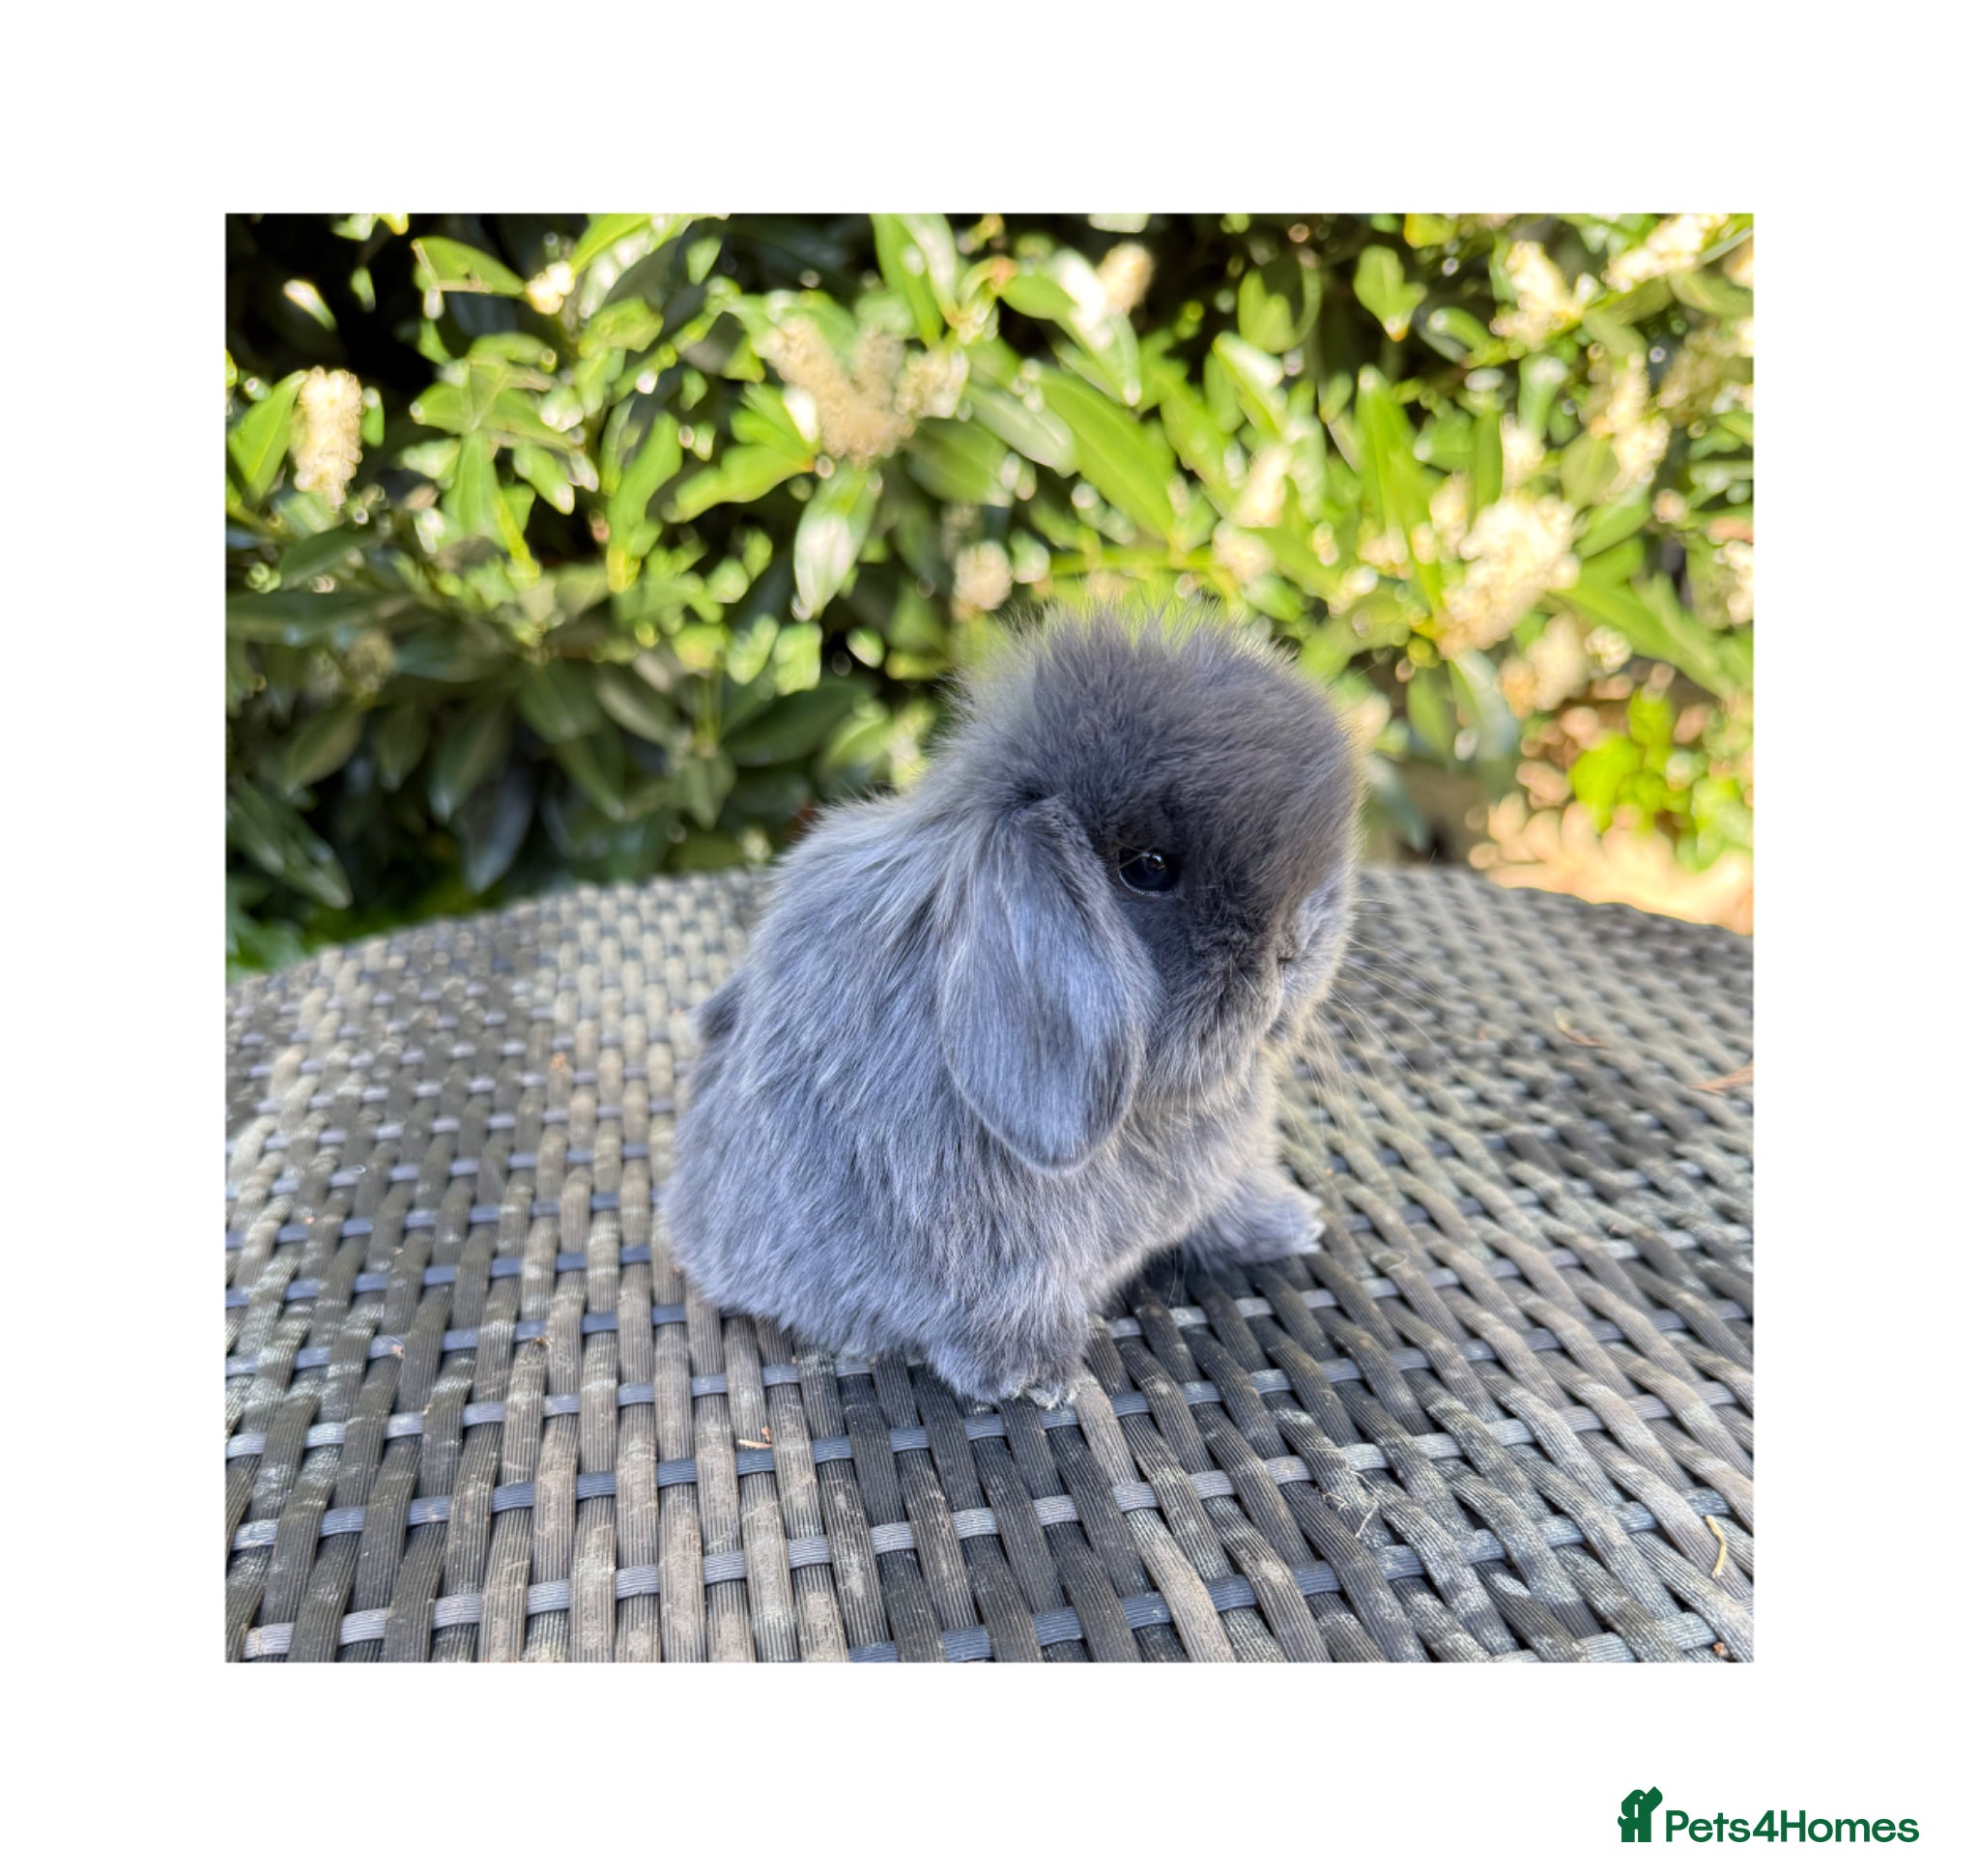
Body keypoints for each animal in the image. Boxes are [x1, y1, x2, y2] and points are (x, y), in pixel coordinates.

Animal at [666, 604, 1360, 1408]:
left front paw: (1288, 1223)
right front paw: (1031, 1374)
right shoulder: (986, 1237)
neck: (1152, 1109)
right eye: (1148, 867)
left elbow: (1230, 1202)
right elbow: (1007, 1292)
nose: (1296, 944)